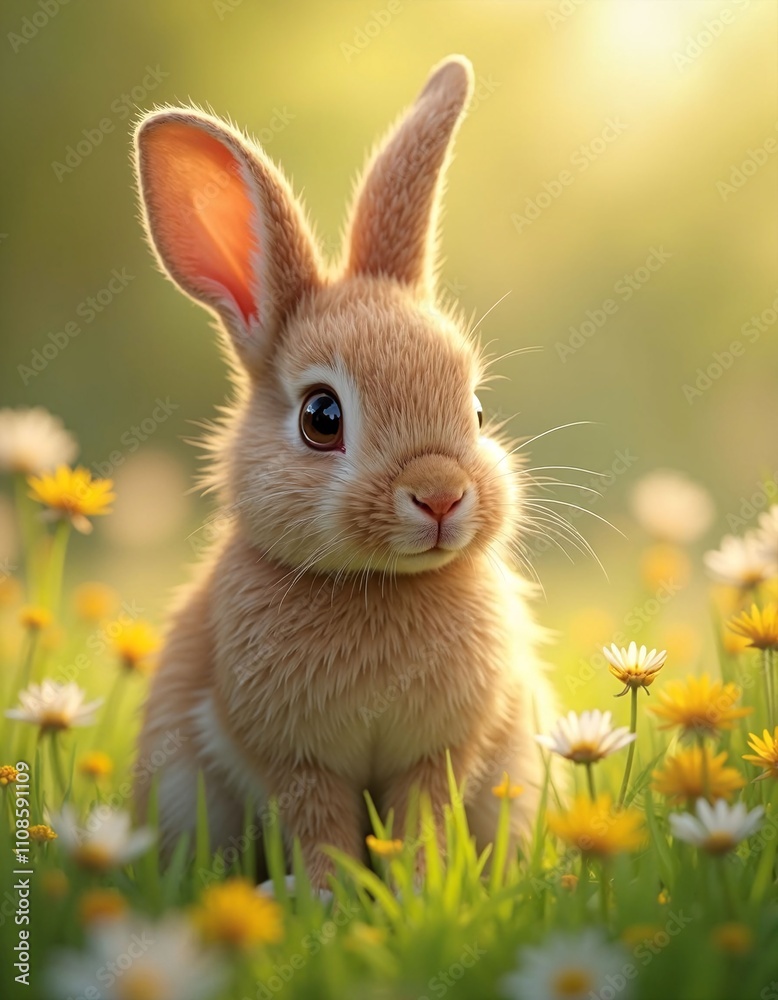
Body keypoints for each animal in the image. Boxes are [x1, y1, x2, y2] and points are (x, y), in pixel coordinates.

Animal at [132, 54, 556, 890]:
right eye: (321, 417)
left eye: (478, 409)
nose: (441, 495)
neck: (379, 585)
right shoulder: (295, 762)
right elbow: (319, 828)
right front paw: (329, 900)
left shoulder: (438, 754)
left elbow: (423, 819)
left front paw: (421, 893)